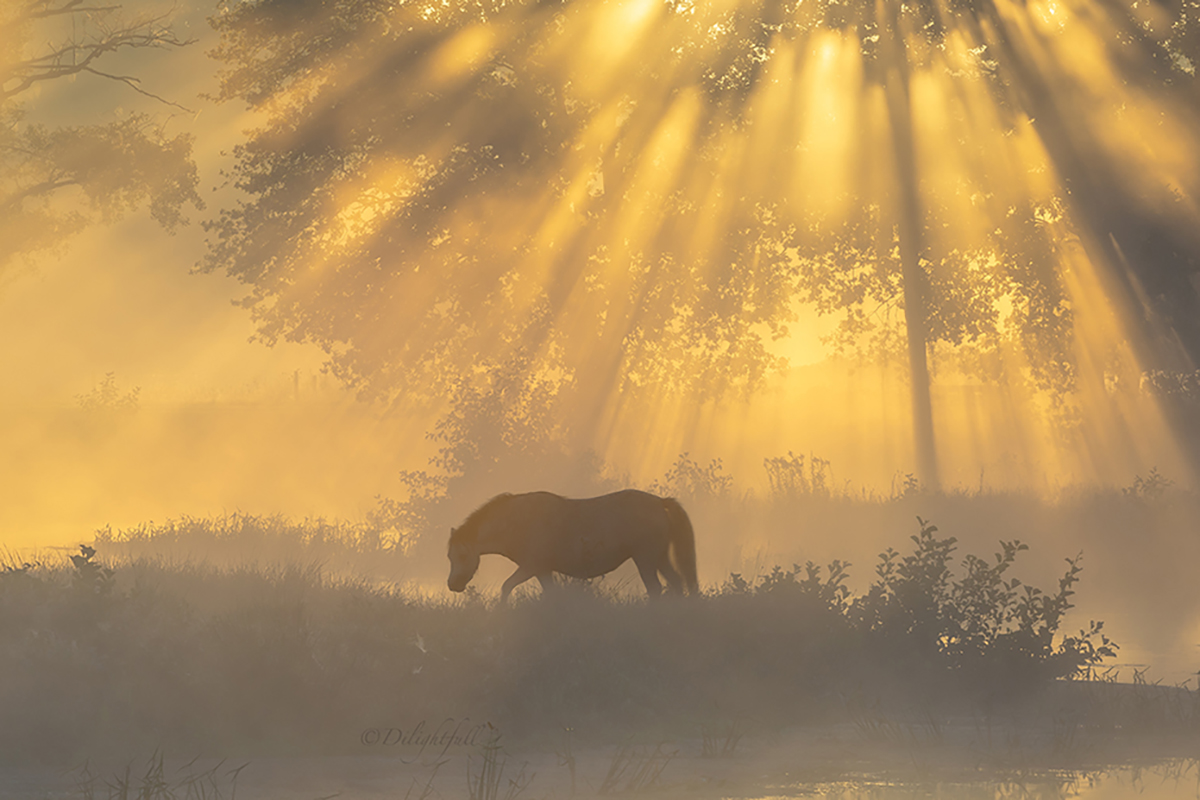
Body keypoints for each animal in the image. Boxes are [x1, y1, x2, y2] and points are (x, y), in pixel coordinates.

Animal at [448, 489, 696, 599]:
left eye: (461, 556)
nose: (452, 584)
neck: (518, 521)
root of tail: (660, 502)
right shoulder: (543, 571)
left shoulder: (531, 567)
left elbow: (506, 587)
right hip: (660, 558)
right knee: (676, 583)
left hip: (645, 560)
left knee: (655, 589)